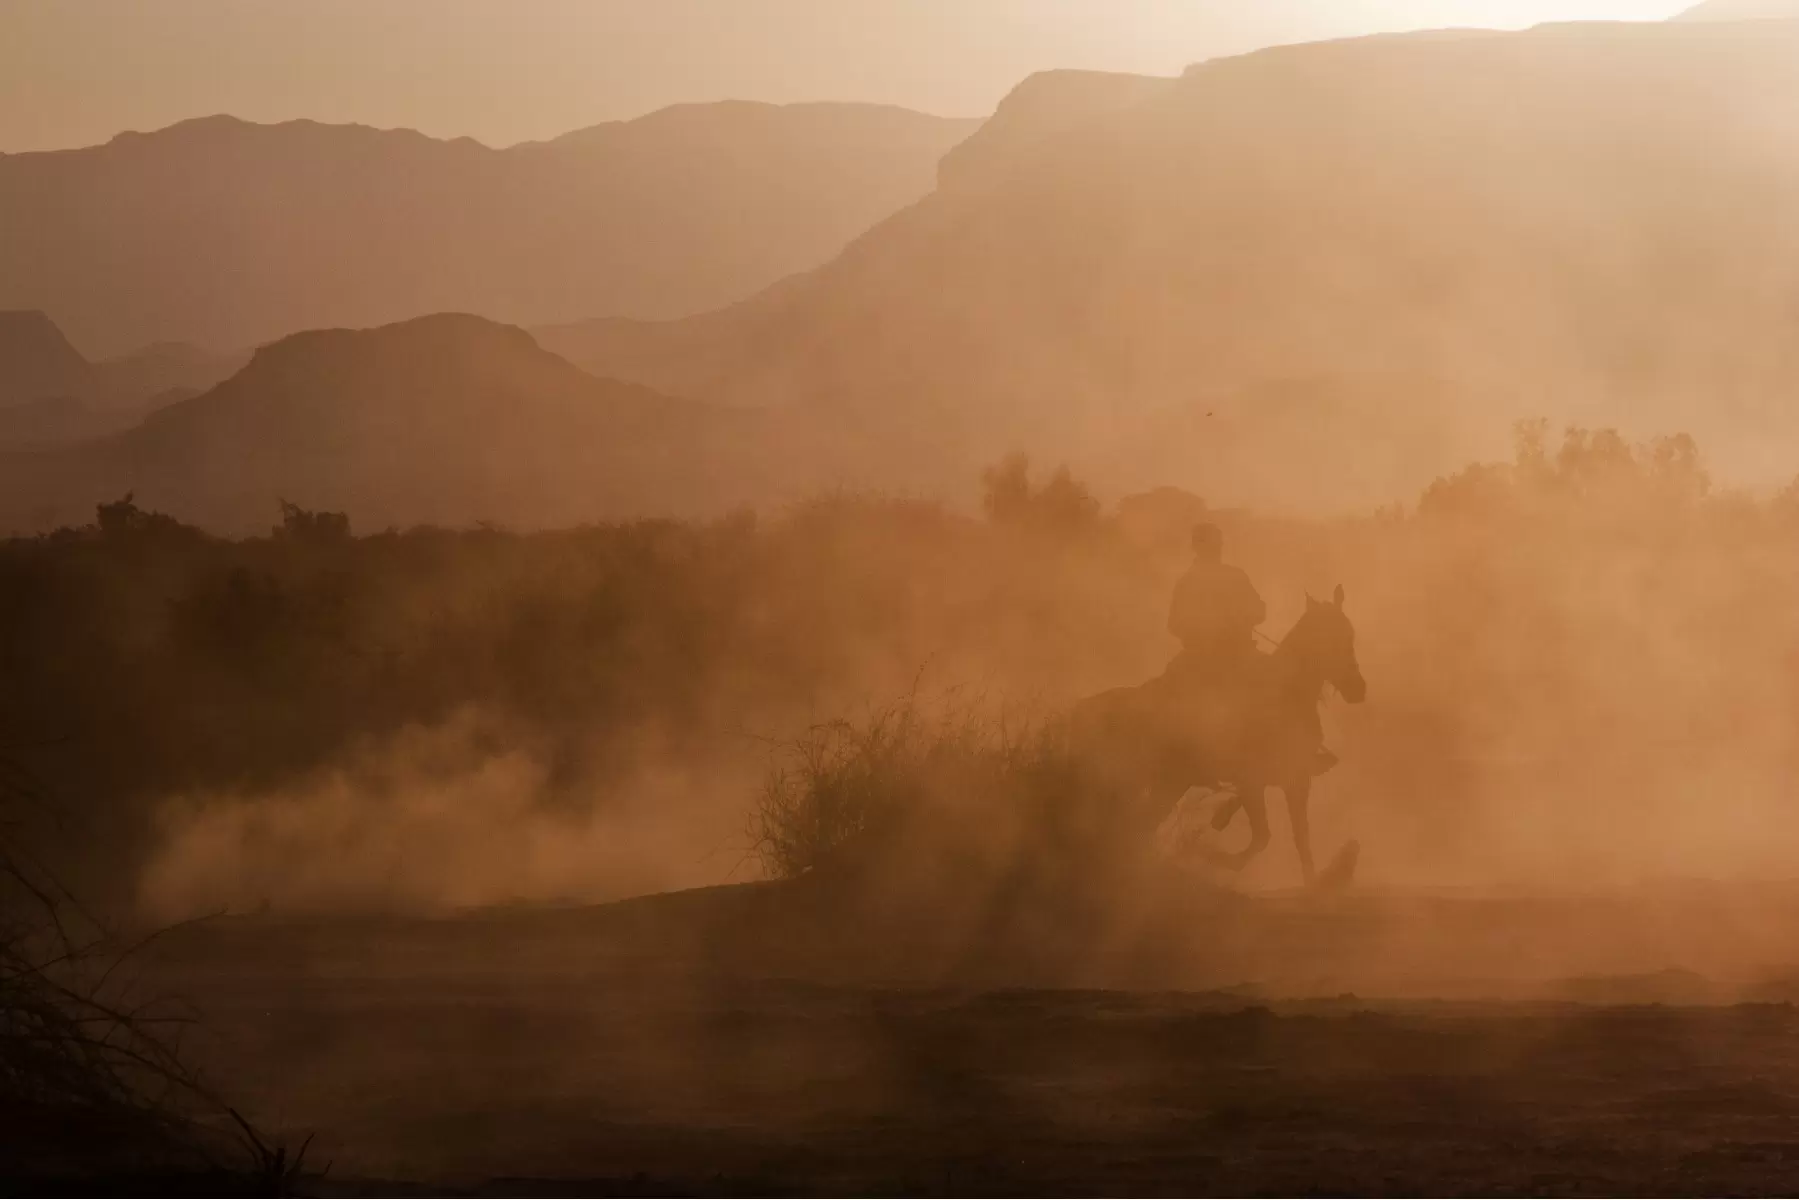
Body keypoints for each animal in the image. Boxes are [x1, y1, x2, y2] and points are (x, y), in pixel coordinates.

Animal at [1065, 586, 1360, 888]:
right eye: (1329, 637)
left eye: (1350, 635)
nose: (1357, 689)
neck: (1286, 696)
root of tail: (1081, 708)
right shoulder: (1251, 782)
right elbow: (1262, 837)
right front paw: (1208, 851)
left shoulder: (1296, 782)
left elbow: (1302, 843)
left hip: (1162, 783)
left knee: (1138, 822)